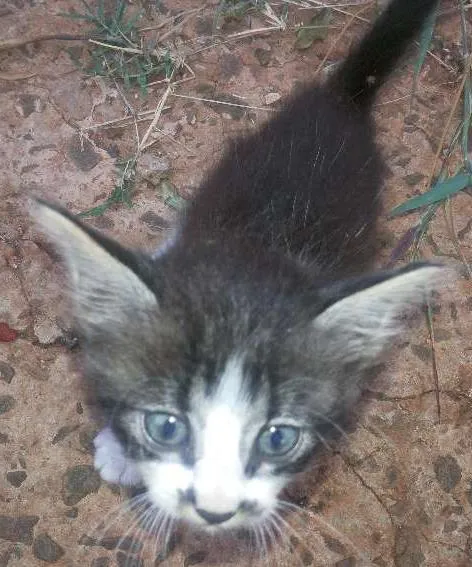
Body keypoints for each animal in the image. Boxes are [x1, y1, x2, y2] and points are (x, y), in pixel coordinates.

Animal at [35, 0, 440, 536]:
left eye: (277, 439)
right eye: (167, 427)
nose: (214, 511)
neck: (258, 248)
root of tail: (341, 102)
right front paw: (121, 452)